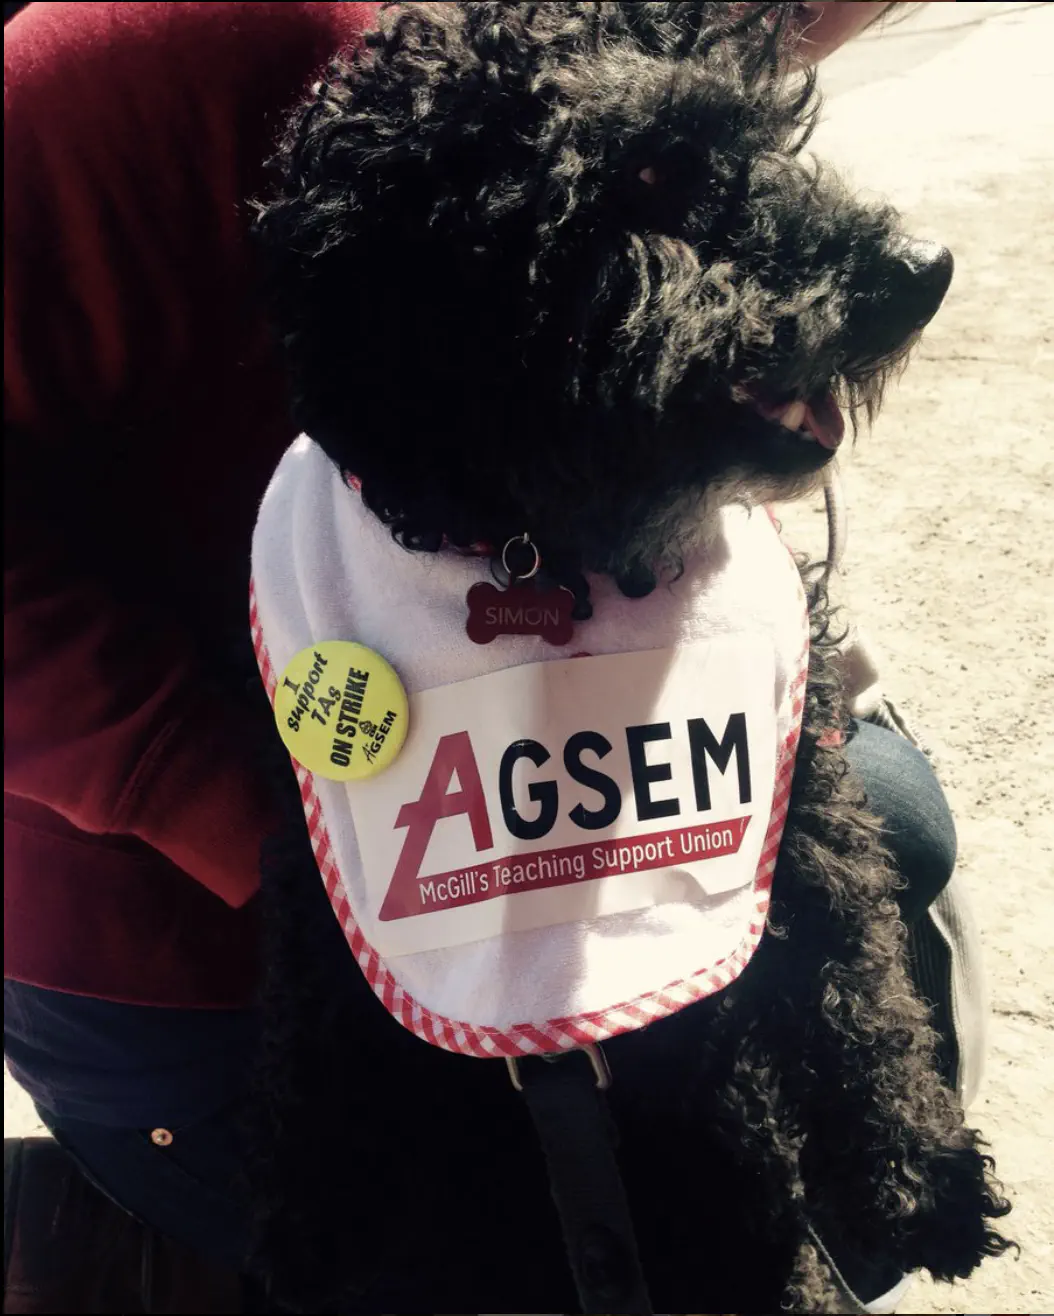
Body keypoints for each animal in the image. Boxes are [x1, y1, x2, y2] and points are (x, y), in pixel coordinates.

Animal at [247, 5, 1010, 1310]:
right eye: (649, 173)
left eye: (768, 126)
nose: (925, 267)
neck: (554, 548)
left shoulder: (798, 795)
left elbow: (857, 965)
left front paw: (920, 1170)